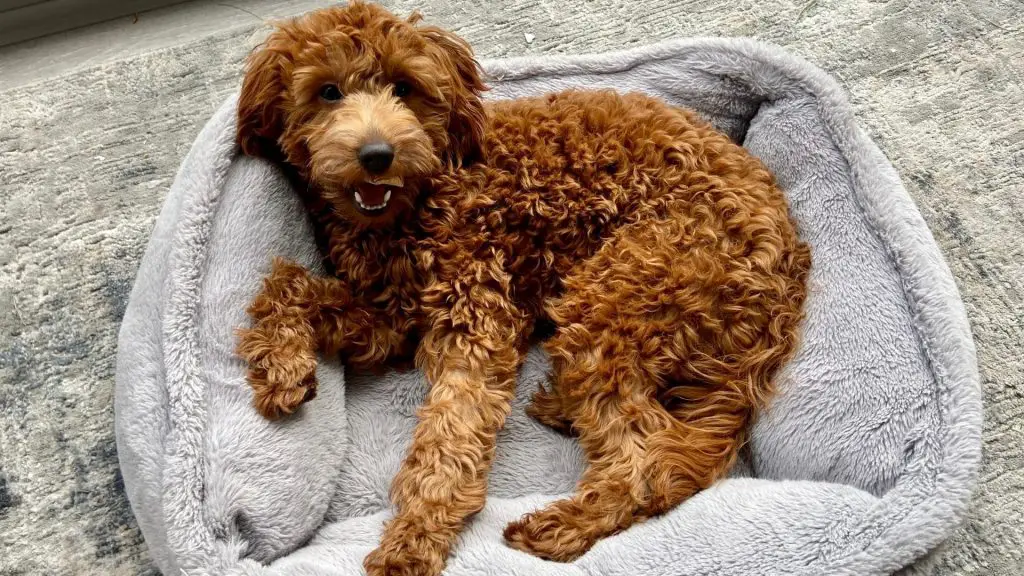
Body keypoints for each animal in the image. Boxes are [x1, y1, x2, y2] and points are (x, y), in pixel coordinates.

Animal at [235, 2, 811, 569]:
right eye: (327, 91)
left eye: (404, 87)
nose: (377, 155)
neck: (416, 202)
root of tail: (787, 271)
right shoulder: (389, 317)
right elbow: (287, 287)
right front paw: (281, 369)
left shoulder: (475, 318)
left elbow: (450, 436)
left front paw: (412, 538)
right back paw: (563, 411)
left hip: (620, 291)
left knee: (647, 458)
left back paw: (564, 524)